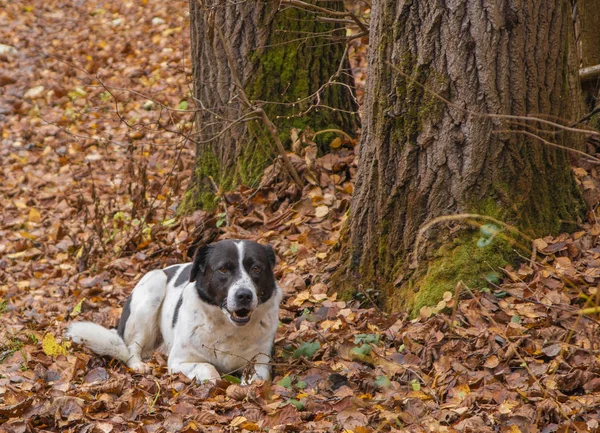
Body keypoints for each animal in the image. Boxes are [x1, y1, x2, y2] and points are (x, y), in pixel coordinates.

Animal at [67, 238, 282, 384]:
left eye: (256, 268)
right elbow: (207, 367)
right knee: (131, 349)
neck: (227, 328)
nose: (244, 295)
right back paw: (139, 365)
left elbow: (257, 378)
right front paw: (213, 380)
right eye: (223, 269)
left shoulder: (261, 360)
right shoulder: (179, 361)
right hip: (153, 287)